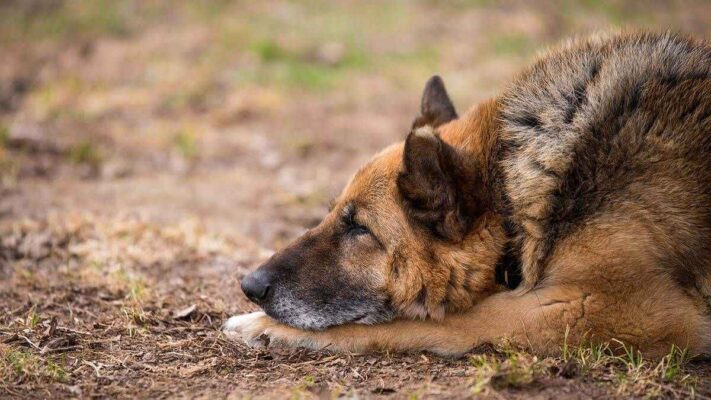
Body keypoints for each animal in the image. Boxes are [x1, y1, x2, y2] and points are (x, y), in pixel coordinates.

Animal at [223, 31, 711, 358]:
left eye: (360, 228)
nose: (250, 287)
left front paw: (262, 325)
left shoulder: (603, 307)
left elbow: (425, 321)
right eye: (331, 215)